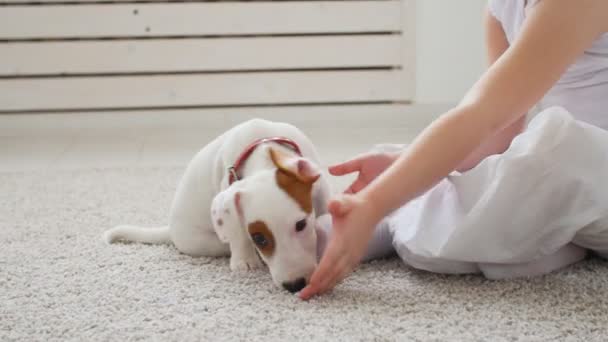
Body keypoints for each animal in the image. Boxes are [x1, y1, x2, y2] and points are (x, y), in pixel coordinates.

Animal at [105, 119, 332, 292]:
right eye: (258, 237)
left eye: (301, 224)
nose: (295, 285)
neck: (264, 149)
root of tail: (170, 230)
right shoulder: (227, 185)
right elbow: (239, 232)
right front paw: (244, 261)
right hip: (203, 243)